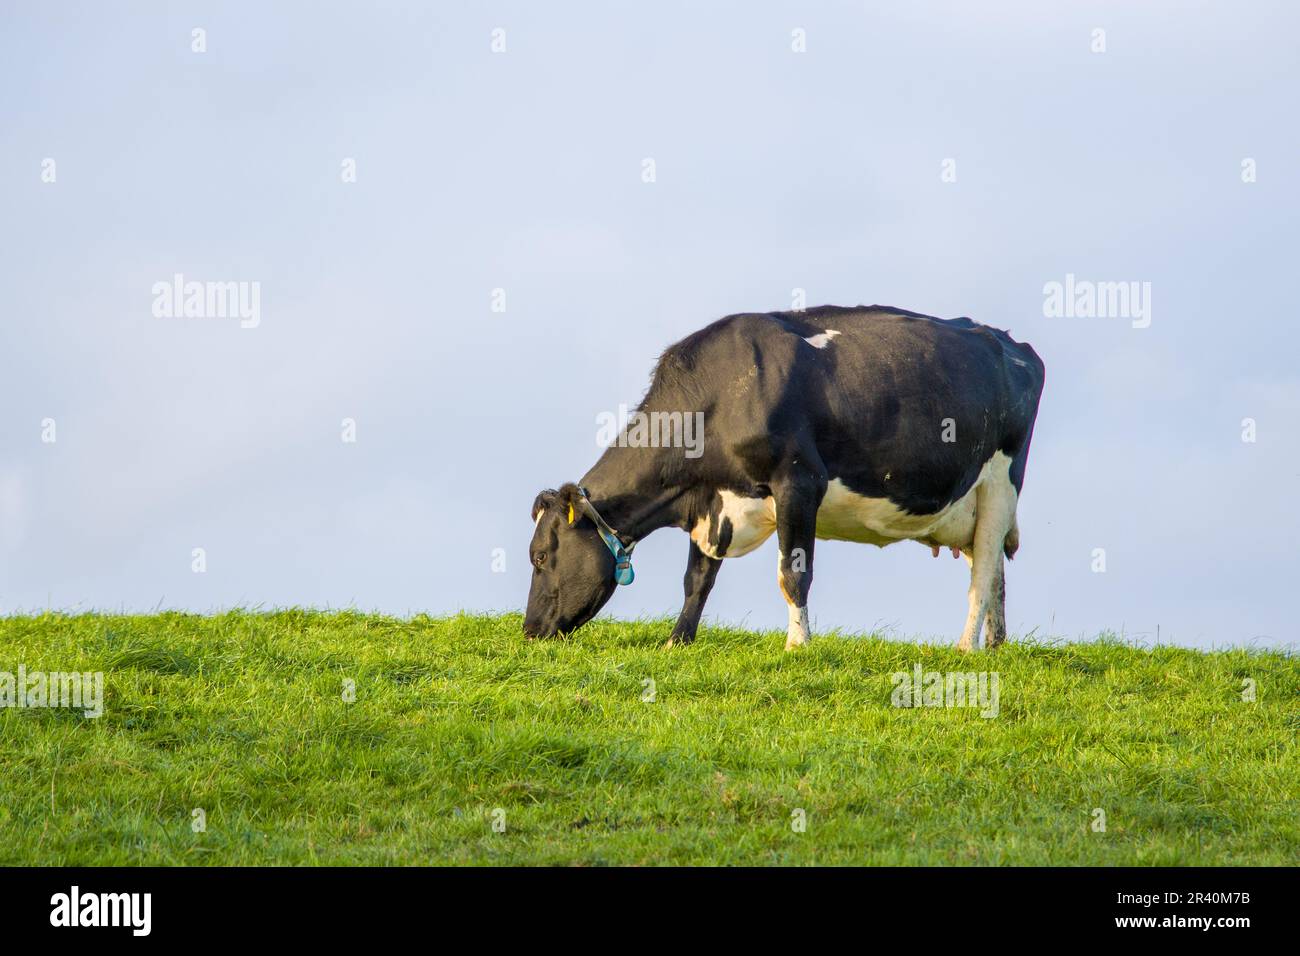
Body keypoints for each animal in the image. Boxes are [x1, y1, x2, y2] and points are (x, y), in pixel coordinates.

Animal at [525, 305, 1045, 652]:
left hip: (1000, 482)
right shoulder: (712, 503)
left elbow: (793, 574)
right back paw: (995, 645)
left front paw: (798, 645)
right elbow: (697, 580)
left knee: (983, 571)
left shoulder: (798, 482)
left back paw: (966, 646)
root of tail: (1009, 343)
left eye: (540, 555)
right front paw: (677, 642)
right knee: (992, 569)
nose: (528, 630)